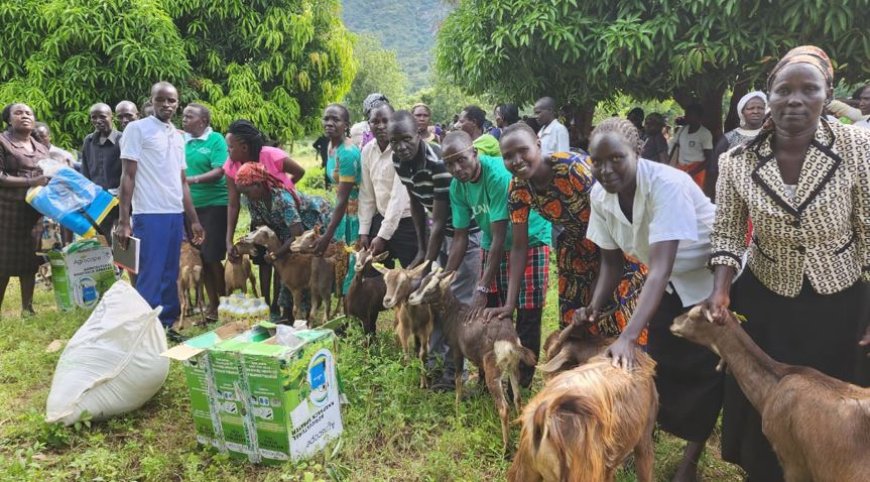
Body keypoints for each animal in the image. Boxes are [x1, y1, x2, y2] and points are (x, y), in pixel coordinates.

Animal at [372, 260, 434, 388]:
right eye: (385, 280)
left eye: (404, 281)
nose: (387, 300)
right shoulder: (404, 330)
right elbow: (406, 353)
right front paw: (408, 377)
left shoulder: (425, 330)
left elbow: (423, 354)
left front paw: (423, 382)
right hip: (397, 318)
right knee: (396, 335)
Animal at [408, 268, 540, 452]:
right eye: (422, 281)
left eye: (432, 288)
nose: (411, 298)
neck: (455, 314)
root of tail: (510, 342)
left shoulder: (457, 350)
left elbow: (457, 379)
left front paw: (457, 407)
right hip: (513, 368)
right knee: (517, 398)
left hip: (494, 371)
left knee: (504, 408)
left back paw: (505, 447)